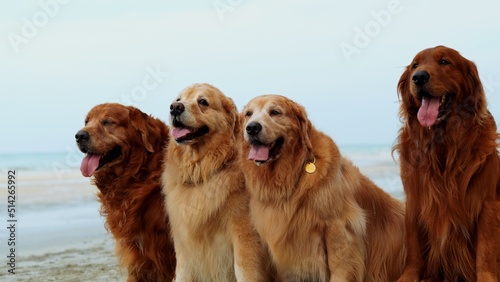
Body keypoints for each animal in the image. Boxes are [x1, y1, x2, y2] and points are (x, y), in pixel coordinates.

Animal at [161, 82, 270, 280]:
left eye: (203, 101)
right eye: (178, 99)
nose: (175, 107)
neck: (202, 172)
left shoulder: (245, 236)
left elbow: (244, 271)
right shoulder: (183, 245)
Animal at [394, 45, 500, 280]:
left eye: (444, 62)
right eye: (415, 65)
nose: (419, 77)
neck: (443, 144)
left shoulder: (488, 202)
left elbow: (486, 251)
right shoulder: (415, 199)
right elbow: (413, 248)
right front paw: (408, 276)